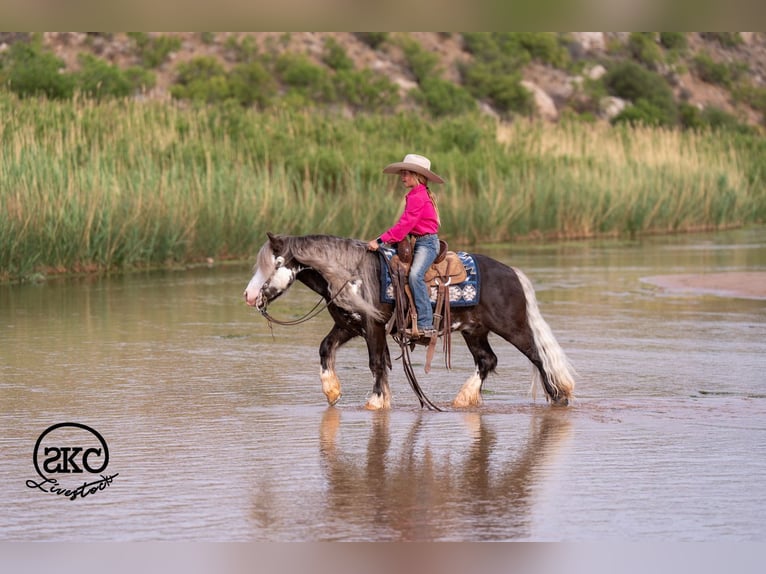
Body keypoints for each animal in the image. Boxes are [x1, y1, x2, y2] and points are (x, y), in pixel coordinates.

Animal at [244, 233, 575, 410]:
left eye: (276, 263)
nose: (249, 295)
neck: (349, 274)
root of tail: (512, 273)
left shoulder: (373, 325)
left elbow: (376, 363)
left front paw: (376, 401)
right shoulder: (349, 325)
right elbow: (326, 348)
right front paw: (332, 391)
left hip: (512, 327)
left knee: (537, 356)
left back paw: (558, 396)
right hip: (473, 331)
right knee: (487, 360)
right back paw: (463, 399)